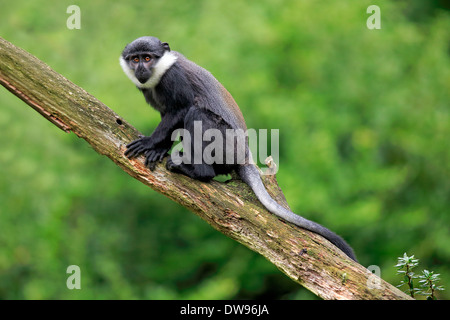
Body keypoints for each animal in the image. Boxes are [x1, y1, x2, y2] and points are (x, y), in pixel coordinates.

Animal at [118, 37, 356, 262]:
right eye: (135, 59)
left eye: (147, 58)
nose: (140, 69)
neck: (160, 71)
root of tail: (244, 155)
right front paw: (159, 148)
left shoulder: (174, 79)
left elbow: (181, 109)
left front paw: (151, 143)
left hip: (224, 144)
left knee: (196, 114)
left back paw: (196, 171)